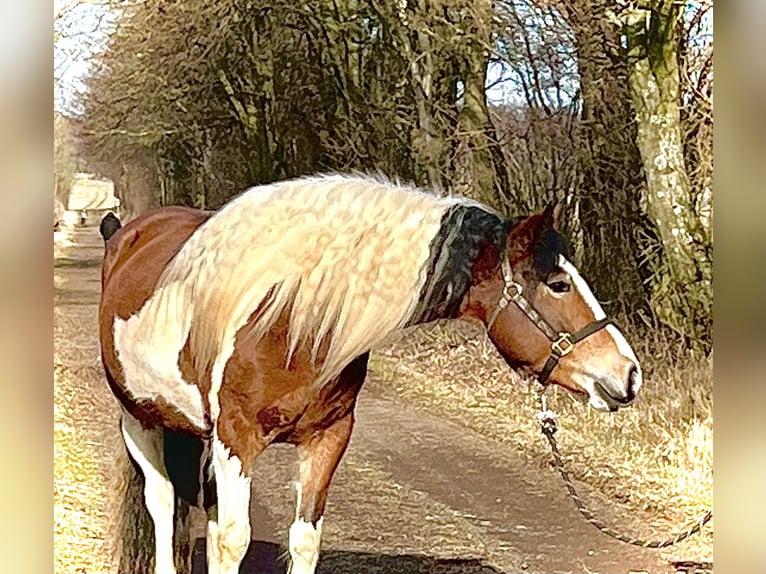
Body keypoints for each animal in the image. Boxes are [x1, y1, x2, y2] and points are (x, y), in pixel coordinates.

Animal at [99, 174, 644, 574]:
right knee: (163, 503)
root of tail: (126, 233)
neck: (294, 316)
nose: (629, 374)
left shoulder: (328, 437)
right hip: (138, 420)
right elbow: (233, 540)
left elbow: (303, 540)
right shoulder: (238, 438)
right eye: (558, 283)